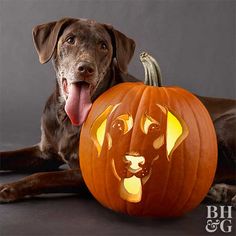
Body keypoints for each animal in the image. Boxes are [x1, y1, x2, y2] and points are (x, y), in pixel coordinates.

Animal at [0, 17, 236, 206]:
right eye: (70, 40)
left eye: (103, 46)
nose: (85, 68)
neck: (67, 119)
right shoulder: (44, 152)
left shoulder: (91, 172)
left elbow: (43, 176)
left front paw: (10, 188)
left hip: (221, 126)